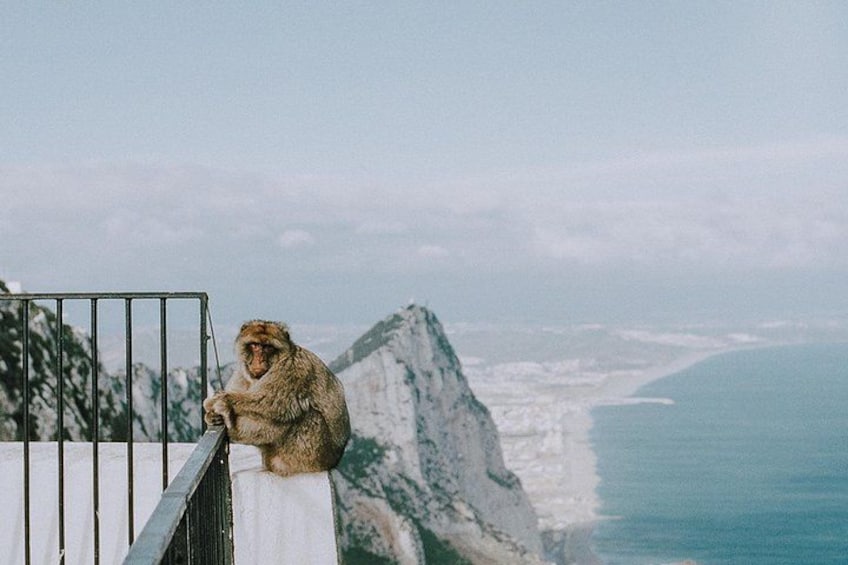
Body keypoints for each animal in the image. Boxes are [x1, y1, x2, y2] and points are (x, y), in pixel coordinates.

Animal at [203, 320, 350, 477]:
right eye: (255, 345)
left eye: (268, 347)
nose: (259, 359)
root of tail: (334, 462)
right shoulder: (242, 374)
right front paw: (211, 415)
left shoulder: (292, 368)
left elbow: (271, 403)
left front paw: (219, 402)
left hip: (312, 455)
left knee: (298, 413)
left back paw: (234, 432)